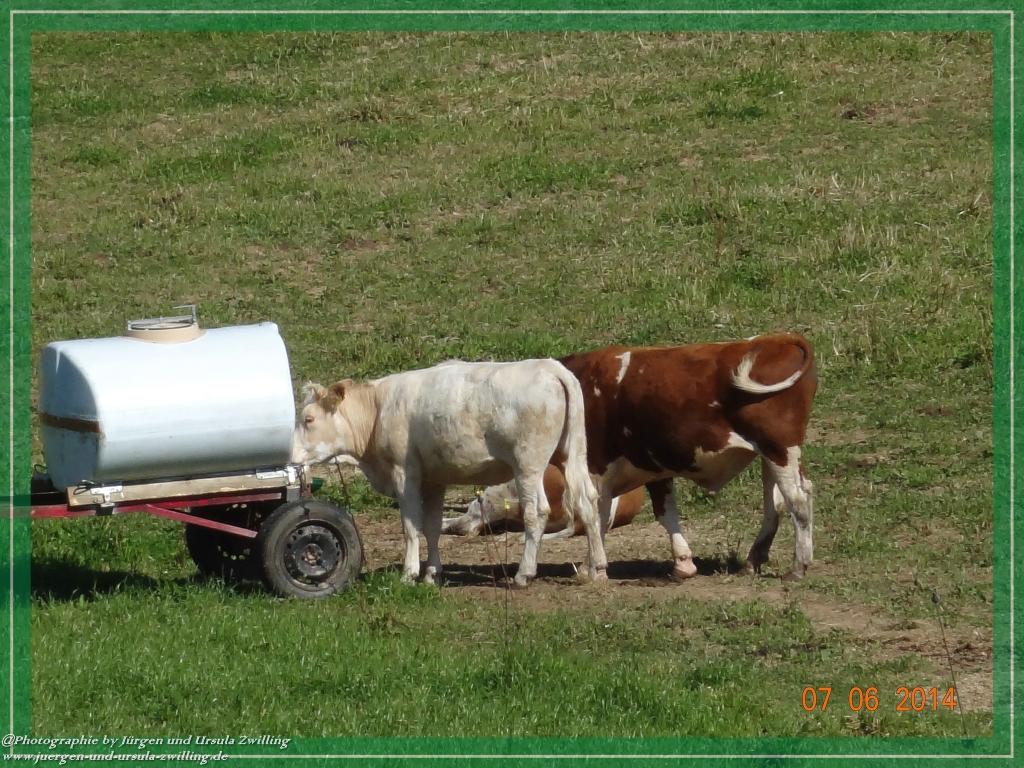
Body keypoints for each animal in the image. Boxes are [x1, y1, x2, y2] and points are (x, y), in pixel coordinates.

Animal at [291, 359, 608, 588]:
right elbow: (431, 526)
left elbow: (410, 527)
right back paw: (597, 568)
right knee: (587, 501)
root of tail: (549, 367)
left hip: (528, 464)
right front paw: (432, 573)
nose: (290, 454)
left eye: (308, 419)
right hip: (571, 454)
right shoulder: (435, 479)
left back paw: (524, 574)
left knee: (537, 511)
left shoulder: (404, 474)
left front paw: (409, 573)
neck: (378, 409)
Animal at [559, 333, 816, 581]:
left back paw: (798, 567)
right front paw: (683, 563)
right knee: (775, 503)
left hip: (779, 449)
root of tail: (777, 338)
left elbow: (597, 515)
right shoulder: (653, 467)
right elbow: (665, 513)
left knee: (798, 498)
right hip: (770, 456)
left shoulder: (596, 467)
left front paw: (591, 568)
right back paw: (754, 560)